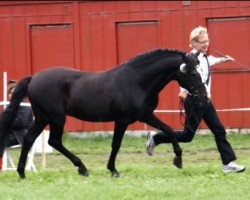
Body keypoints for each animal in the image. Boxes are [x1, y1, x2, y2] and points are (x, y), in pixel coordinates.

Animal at [0, 48, 207, 178]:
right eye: (193, 73)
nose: (203, 97)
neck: (136, 81)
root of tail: (34, 77)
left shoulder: (145, 115)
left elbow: (169, 129)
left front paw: (178, 159)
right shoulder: (122, 120)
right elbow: (116, 144)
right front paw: (113, 170)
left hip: (43, 117)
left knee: (29, 139)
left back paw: (22, 172)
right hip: (56, 117)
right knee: (54, 141)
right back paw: (82, 168)